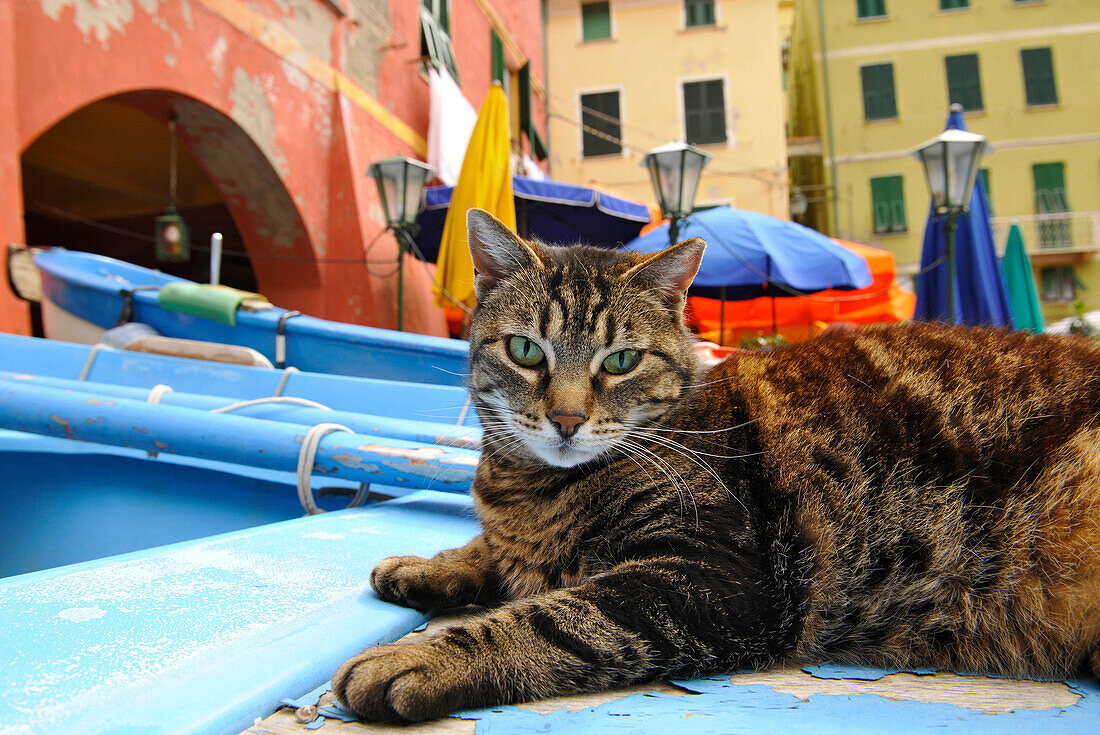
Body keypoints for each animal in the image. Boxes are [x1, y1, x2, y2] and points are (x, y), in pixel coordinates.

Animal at [330, 207, 1100, 721]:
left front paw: (418, 657)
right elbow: (493, 552)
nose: (568, 419)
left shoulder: (716, 577)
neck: (531, 486)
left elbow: (553, 618)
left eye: (620, 361)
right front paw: (431, 564)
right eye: (525, 351)